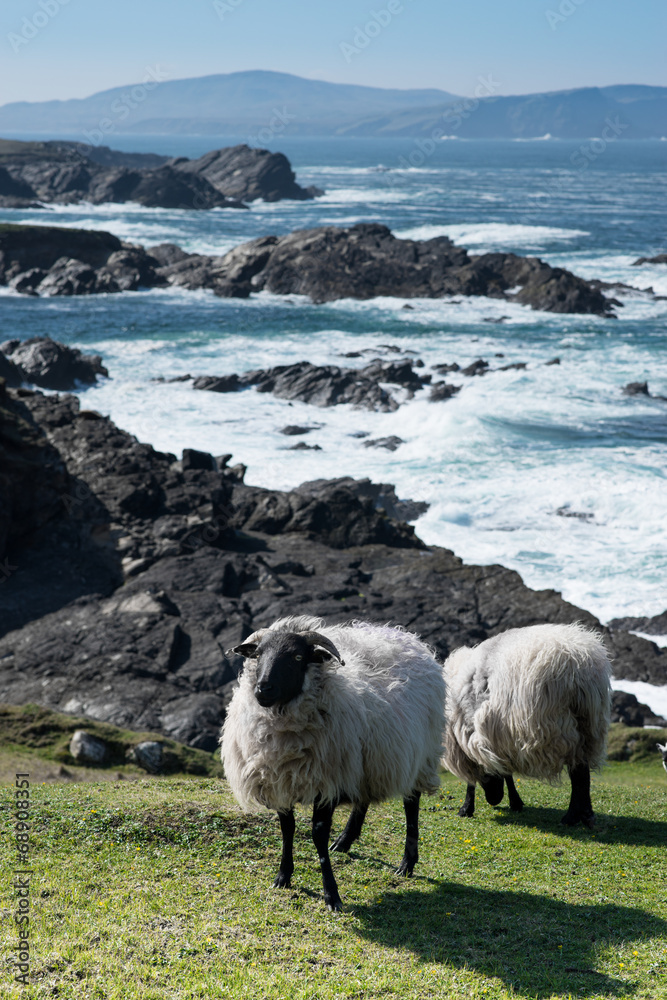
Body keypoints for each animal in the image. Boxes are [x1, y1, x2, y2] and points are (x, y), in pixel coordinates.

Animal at [220, 615, 445, 911]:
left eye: (297, 656)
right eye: (258, 655)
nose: (263, 689)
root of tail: (405, 637)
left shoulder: (326, 782)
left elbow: (317, 835)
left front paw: (331, 894)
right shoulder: (281, 779)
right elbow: (287, 829)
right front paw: (283, 875)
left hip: (419, 755)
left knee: (412, 804)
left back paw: (407, 862)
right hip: (365, 760)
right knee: (363, 798)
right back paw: (345, 841)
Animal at [442, 623, 612, 828]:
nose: (493, 800)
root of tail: (581, 663)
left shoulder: (476, 734)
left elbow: (479, 773)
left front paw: (467, 808)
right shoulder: (499, 735)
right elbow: (503, 770)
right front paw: (515, 802)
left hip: (560, 725)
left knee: (579, 773)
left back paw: (572, 817)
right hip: (589, 725)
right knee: (582, 770)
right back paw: (586, 815)